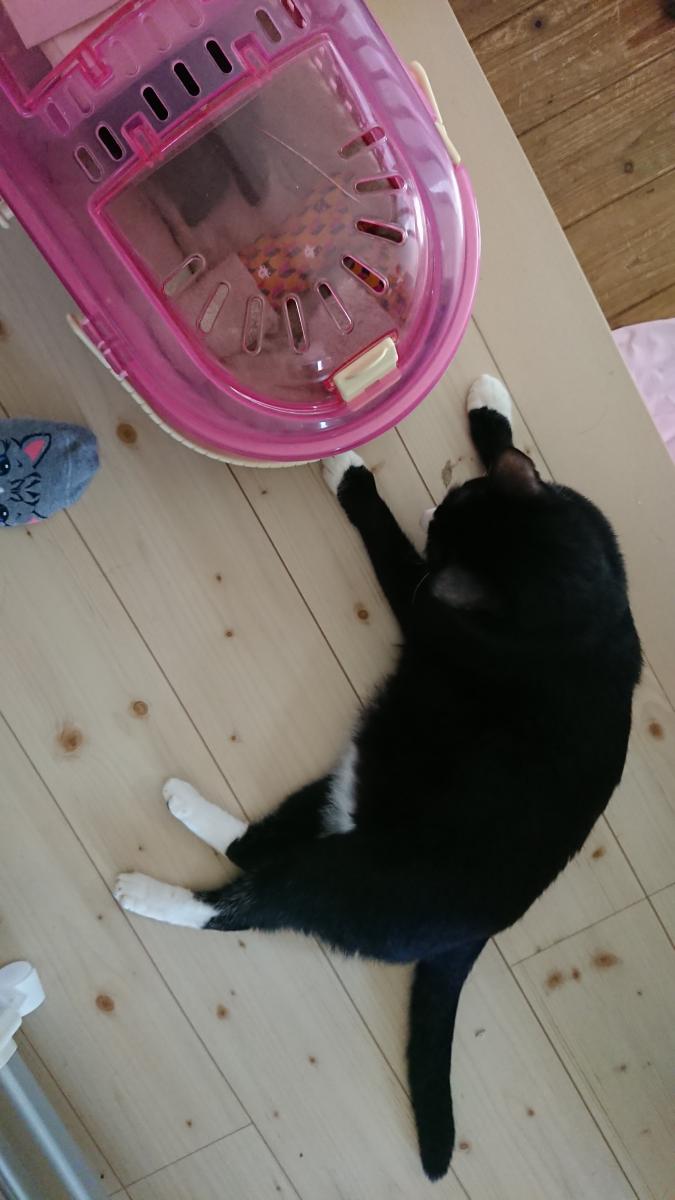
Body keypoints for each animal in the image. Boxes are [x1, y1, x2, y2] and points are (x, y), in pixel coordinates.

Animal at [115, 374, 642, 1180]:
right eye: (457, 502)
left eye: (443, 535)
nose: (432, 510)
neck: (582, 613)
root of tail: (475, 934)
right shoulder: (584, 520)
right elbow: (518, 451)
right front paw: (489, 403)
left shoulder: (425, 604)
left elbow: (391, 554)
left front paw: (351, 472)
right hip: (357, 779)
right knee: (258, 843)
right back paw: (188, 808)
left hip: (345, 870)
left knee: (248, 900)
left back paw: (145, 888)